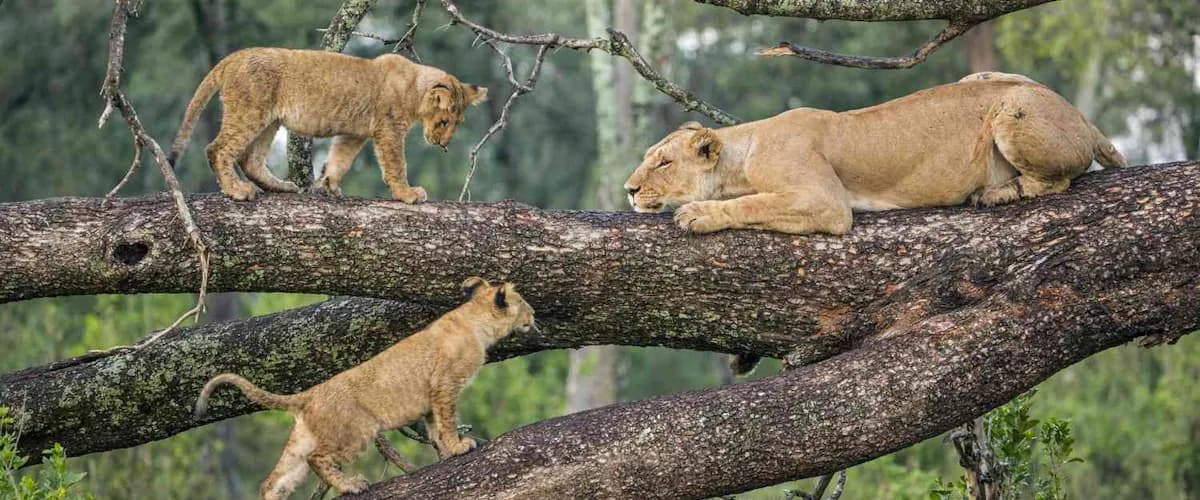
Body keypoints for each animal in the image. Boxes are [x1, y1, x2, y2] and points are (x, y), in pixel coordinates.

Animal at [168, 47, 488, 202]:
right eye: (444, 121)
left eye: (457, 123)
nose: (444, 145)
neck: (414, 87)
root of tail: (237, 55)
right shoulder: (388, 130)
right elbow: (397, 165)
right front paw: (408, 194)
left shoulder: (354, 134)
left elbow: (340, 160)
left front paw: (328, 185)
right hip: (249, 112)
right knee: (217, 149)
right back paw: (237, 190)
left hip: (269, 120)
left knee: (251, 159)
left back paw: (281, 186)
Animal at [194, 277, 535, 499]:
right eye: (526, 305)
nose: (535, 317)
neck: (475, 320)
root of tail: (309, 394)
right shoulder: (445, 384)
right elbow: (448, 421)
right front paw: (459, 446)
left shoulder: (431, 397)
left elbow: (435, 427)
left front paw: (446, 452)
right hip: (355, 431)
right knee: (317, 458)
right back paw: (350, 485)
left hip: (301, 440)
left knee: (273, 482)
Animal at [623, 72, 1126, 235]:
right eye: (649, 155)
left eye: (664, 162)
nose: (628, 189)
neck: (743, 152)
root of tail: (1082, 117)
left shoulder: (825, 201)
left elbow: (753, 204)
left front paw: (697, 214)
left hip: (1011, 109)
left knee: (1056, 180)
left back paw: (996, 192)